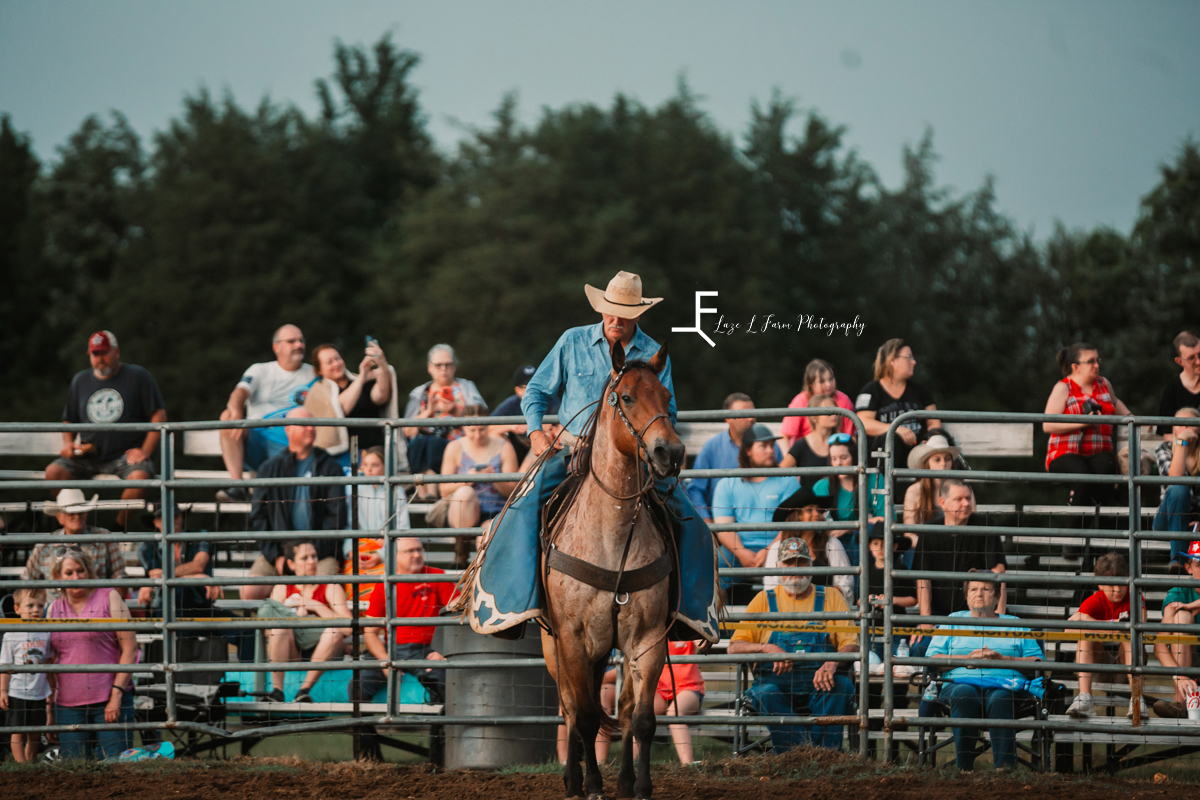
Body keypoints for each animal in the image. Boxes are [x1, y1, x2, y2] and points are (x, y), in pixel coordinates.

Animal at [540, 343, 681, 800]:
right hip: (556, 647)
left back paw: (620, 780)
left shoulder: (649, 638)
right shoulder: (571, 637)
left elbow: (641, 719)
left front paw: (639, 786)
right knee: (570, 707)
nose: (671, 454)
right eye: (627, 398)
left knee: (620, 709)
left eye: (666, 397)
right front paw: (592, 785)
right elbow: (584, 716)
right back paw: (573, 779)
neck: (612, 535)